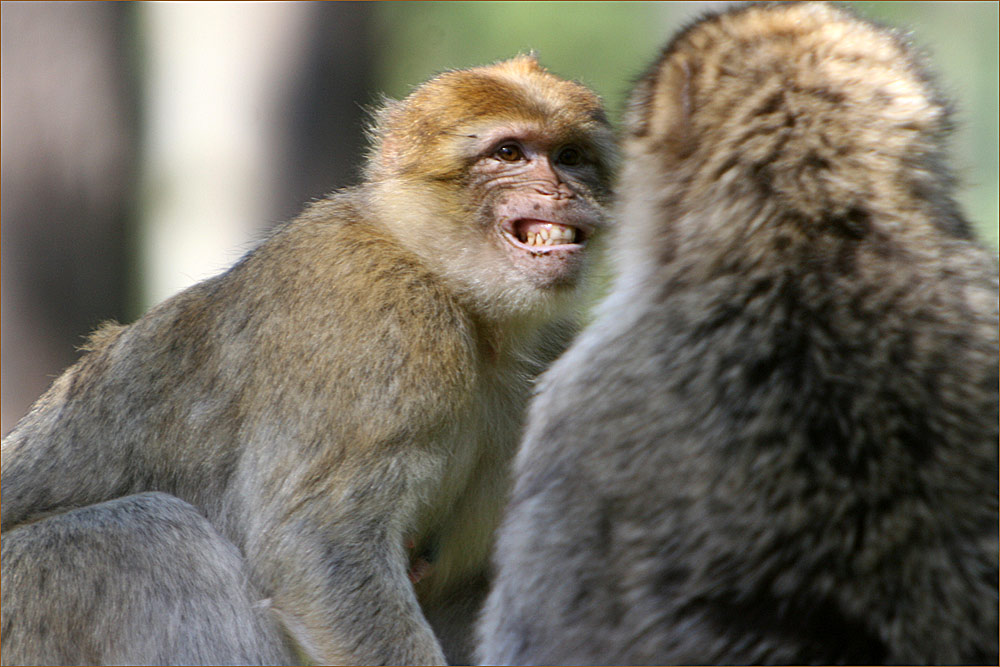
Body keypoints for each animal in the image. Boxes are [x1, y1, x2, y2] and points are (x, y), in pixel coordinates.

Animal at [1, 57, 616, 667]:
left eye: (570, 157)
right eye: (509, 153)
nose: (559, 191)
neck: (460, 296)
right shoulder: (380, 324)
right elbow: (319, 545)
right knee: (146, 537)